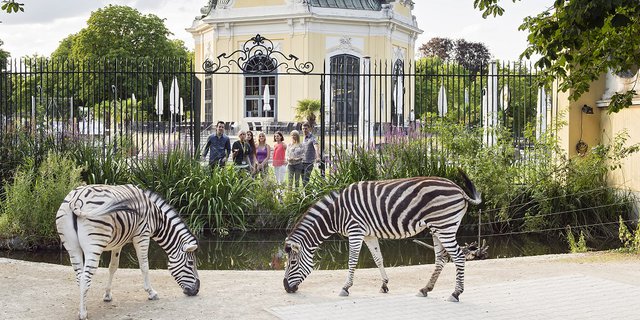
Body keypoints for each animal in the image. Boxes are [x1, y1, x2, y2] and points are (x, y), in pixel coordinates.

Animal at [56, 185, 199, 320]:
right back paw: (83, 313)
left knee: (79, 277)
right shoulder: (142, 235)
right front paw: (151, 293)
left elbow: (113, 267)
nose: (196, 290)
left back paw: (83, 308)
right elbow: (144, 266)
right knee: (85, 277)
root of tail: (76, 199)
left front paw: (107, 295)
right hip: (94, 246)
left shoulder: (118, 242)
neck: (156, 217)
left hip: (72, 247)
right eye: (190, 263)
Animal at [282, 170, 482, 302]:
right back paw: (425, 289)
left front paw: (345, 287)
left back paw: (455, 293)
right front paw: (384, 284)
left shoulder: (355, 231)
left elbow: (352, 261)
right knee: (441, 258)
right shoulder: (368, 234)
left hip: (444, 226)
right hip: (438, 228)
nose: (285, 287)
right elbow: (378, 258)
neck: (337, 213)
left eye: (292, 262)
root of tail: (459, 190)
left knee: (459, 256)